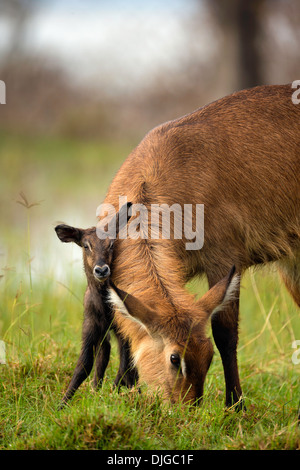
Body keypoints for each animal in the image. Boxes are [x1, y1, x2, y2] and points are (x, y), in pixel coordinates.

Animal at [55, 204, 137, 406]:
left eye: (112, 244)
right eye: (86, 245)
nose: (101, 269)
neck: (104, 308)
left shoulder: (123, 330)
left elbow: (124, 365)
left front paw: (114, 394)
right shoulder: (91, 326)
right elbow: (84, 365)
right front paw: (61, 404)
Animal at [99, 83, 300, 412]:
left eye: (207, 357)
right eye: (175, 358)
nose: (187, 411)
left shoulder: (225, 261)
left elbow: (225, 334)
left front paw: (235, 405)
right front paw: (124, 389)